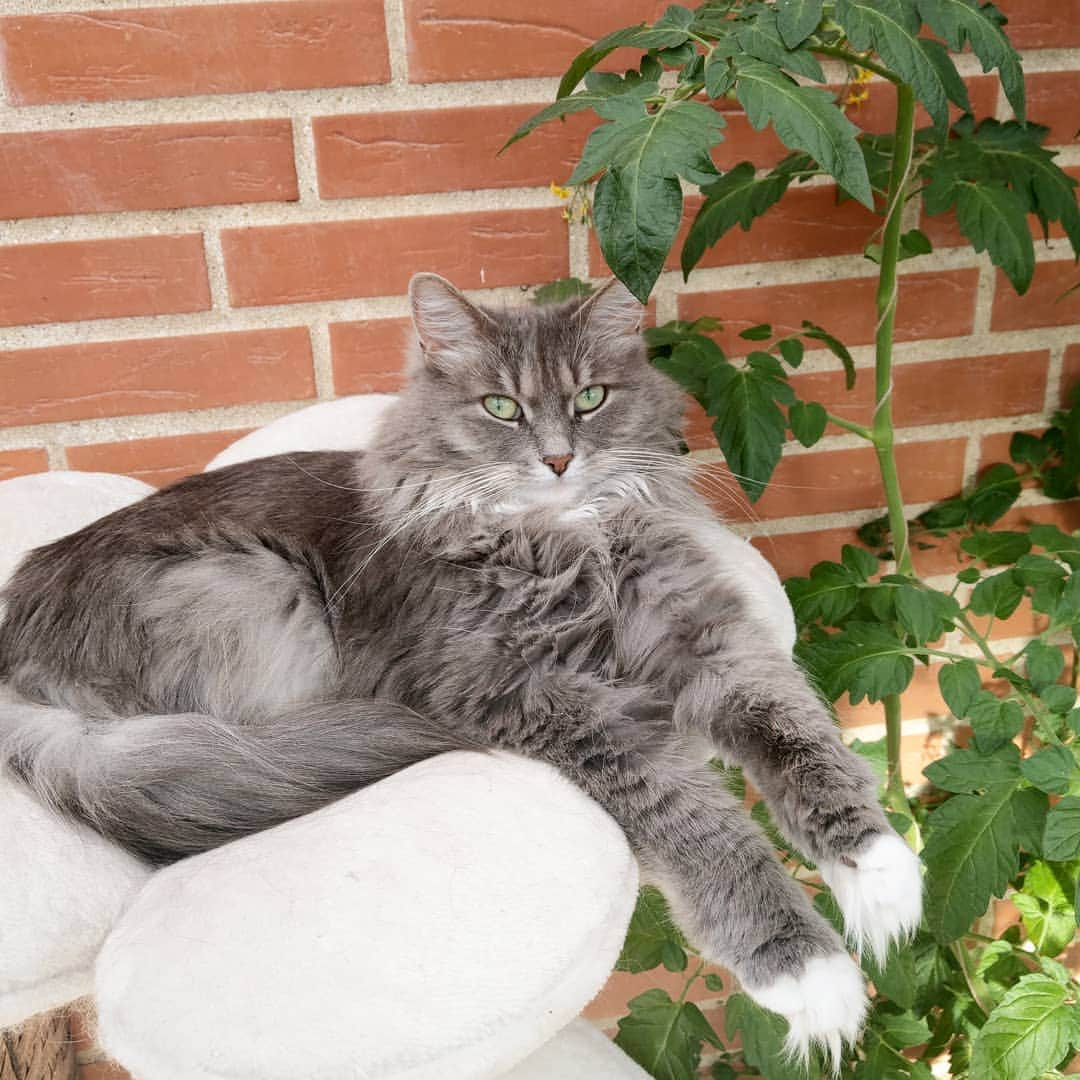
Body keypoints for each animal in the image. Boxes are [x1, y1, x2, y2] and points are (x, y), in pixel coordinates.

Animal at [0, 274, 920, 1067]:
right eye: (502, 408)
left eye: (591, 399)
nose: (559, 460)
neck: (573, 540)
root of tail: (13, 649)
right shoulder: (544, 697)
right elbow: (699, 823)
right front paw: (808, 973)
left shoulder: (707, 642)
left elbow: (800, 742)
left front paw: (882, 876)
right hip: (260, 591)